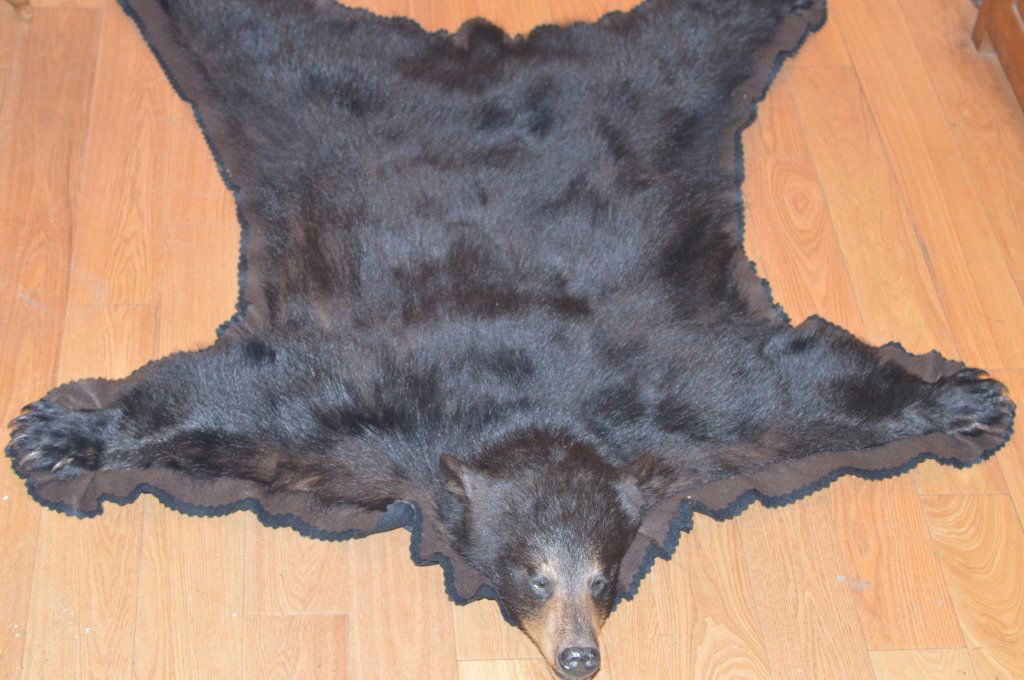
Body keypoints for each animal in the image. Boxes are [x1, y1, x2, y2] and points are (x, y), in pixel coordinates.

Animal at [4, 0, 1014, 678]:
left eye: (604, 578)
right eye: (531, 576)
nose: (579, 657)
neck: (532, 411)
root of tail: (490, 54)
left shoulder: (681, 403)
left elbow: (793, 391)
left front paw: (956, 398)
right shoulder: (367, 414)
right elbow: (246, 400)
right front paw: (67, 432)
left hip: (666, 89)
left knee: (703, 31)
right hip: (303, 93)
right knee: (261, 39)